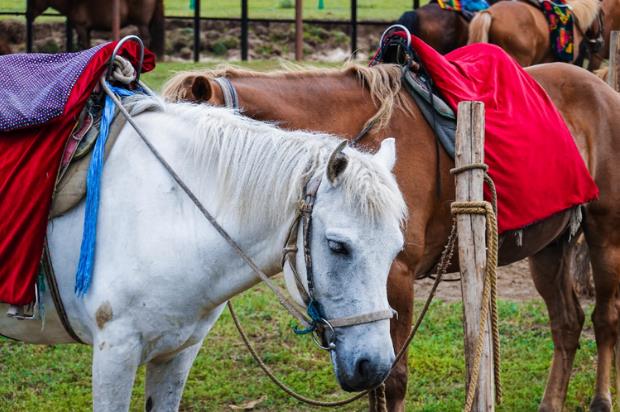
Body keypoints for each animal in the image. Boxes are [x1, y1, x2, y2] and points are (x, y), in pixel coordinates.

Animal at [0, 95, 406, 410]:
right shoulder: (115, 352)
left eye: (395, 249)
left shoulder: (178, 352)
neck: (170, 216)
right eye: (337, 246)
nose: (375, 366)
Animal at [26, 0, 165, 58]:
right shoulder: (86, 29)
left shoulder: (81, 27)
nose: (28, 15)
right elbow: (85, 45)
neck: (73, 2)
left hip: (142, 24)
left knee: (145, 39)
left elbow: (83, 44)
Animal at [165, 64, 620, 412]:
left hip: (604, 238)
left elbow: (392, 378)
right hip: (548, 249)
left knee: (604, 319)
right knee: (567, 323)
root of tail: (601, 87)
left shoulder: (395, 276)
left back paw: (601, 399)